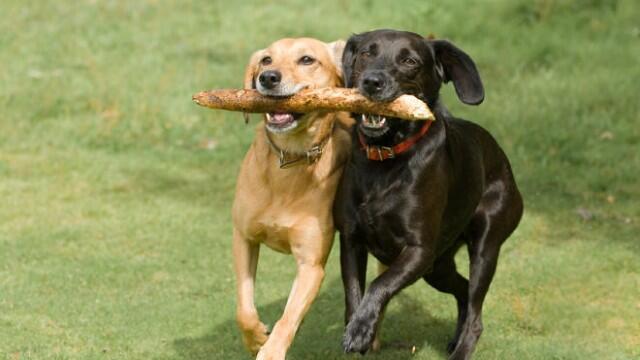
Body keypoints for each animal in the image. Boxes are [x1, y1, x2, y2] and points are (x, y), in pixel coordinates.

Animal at [231, 38, 352, 358]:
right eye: (266, 60)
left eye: (307, 59)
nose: (268, 78)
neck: (289, 161)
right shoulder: (243, 237)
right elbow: (244, 308)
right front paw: (255, 338)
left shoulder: (311, 266)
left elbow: (288, 319)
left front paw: (270, 350)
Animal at [332, 29, 524, 358]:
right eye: (367, 53)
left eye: (409, 61)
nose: (372, 81)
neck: (385, 159)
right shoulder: (351, 240)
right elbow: (354, 293)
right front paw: (359, 328)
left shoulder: (419, 250)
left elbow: (380, 283)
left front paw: (360, 329)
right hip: (438, 267)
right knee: (463, 291)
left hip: (484, 246)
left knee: (476, 314)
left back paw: (461, 349)